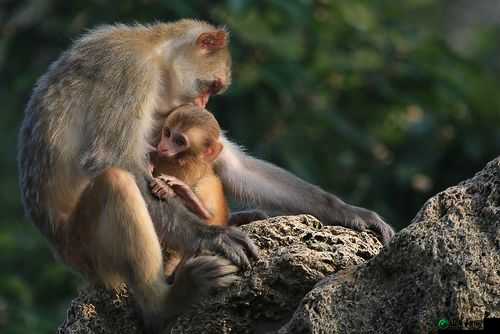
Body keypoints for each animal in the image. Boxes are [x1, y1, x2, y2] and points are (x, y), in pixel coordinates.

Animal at [17, 18, 392, 334]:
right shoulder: (129, 72)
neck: (153, 50)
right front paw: (212, 237)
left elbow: (234, 166)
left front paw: (350, 213)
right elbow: (110, 158)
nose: (203, 104)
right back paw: (164, 304)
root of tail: (63, 253)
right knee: (116, 182)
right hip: (87, 248)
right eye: (211, 86)